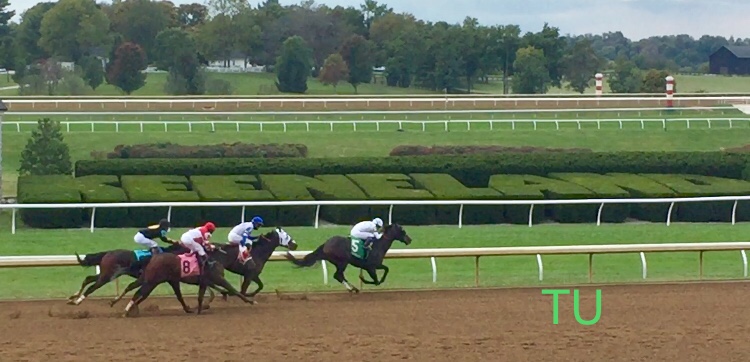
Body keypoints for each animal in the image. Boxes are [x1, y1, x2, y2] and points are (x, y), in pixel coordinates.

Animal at [123, 243, 253, 316]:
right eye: (247, 253)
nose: (253, 264)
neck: (216, 259)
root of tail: (153, 258)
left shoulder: (205, 282)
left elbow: (201, 296)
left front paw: (199, 310)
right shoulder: (218, 278)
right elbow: (233, 289)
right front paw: (250, 301)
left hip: (159, 280)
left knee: (139, 291)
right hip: (152, 281)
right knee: (139, 293)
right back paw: (127, 310)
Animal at [284, 223, 412, 294]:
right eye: (402, 230)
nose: (409, 239)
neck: (378, 245)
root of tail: (326, 244)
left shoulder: (371, 266)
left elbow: (385, 270)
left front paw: (363, 279)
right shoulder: (371, 267)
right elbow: (378, 278)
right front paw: (364, 279)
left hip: (340, 263)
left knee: (339, 276)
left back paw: (353, 288)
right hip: (342, 262)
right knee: (338, 275)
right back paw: (352, 288)